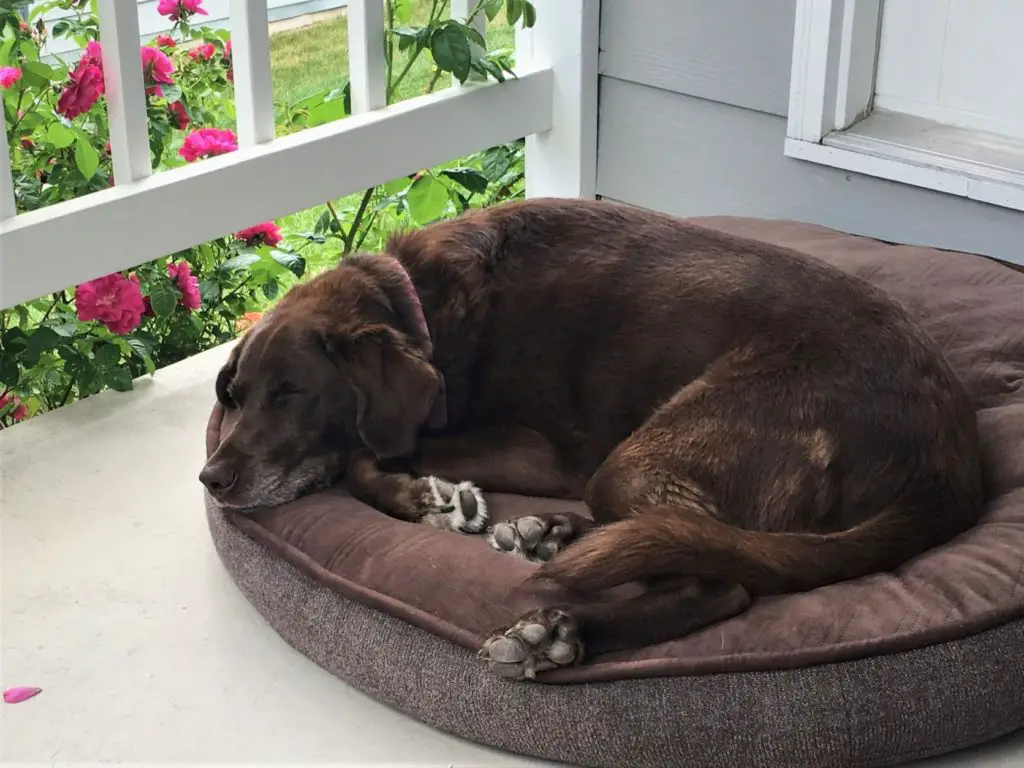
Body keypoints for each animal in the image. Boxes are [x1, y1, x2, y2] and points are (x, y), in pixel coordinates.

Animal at [197, 196, 983, 679]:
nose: (213, 478)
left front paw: (422, 497)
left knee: (718, 576)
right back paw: (546, 535)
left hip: (631, 461)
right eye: (235, 396)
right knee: (675, 537)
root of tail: (949, 465)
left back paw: (558, 632)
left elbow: (368, 452)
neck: (420, 308)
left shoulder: (540, 453)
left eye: (293, 393)